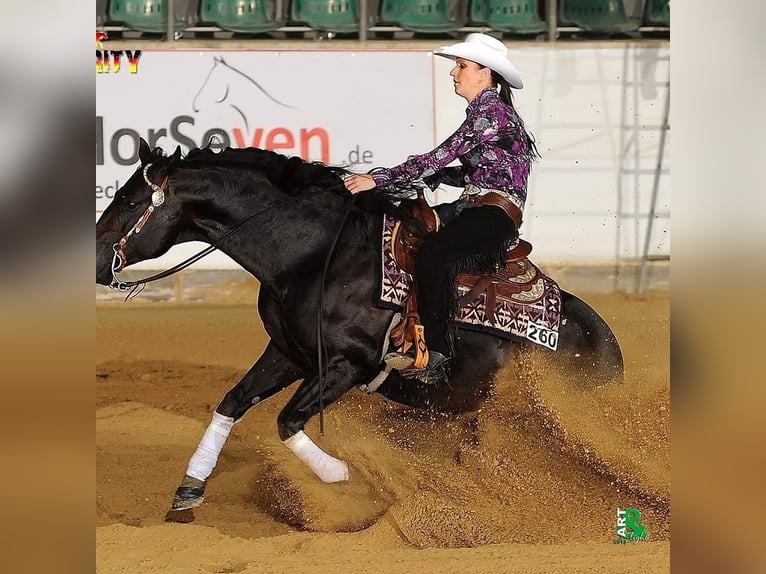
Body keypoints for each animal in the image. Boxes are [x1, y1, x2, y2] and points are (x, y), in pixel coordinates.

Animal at [96, 139, 623, 522]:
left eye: (127, 201)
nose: (98, 263)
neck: (312, 254)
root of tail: (607, 348)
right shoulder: (288, 352)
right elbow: (231, 403)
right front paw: (188, 492)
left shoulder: (347, 365)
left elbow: (287, 421)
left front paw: (340, 475)